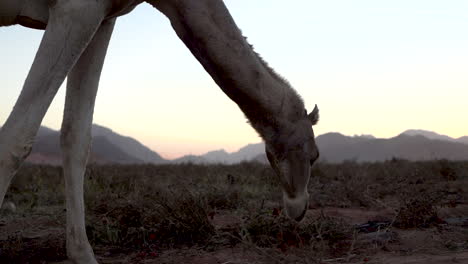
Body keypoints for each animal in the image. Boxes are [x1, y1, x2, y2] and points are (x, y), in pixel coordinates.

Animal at [0, 0, 320, 262]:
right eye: (315, 156)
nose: (300, 209)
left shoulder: (101, 19)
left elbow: (76, 137)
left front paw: (82, 254)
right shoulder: (76, 8)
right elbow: (16, 136)